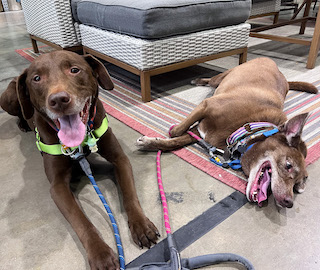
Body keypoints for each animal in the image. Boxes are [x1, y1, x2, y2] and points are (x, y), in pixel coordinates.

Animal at [0, 49, 159, 268]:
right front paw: (100, 254)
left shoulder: (120, 159)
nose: (58, 100)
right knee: (22, 112)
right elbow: (81, 221)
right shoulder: (57, 186)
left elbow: (130, 195)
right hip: (8, 98)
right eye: (37, 78)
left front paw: (142, 225)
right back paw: (23, 124)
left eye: (74, 70)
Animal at [136, 57, 318, 209]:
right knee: (211, 80)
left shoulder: (200, 132)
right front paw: (168, 133)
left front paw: (151, 143)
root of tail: (277, 68)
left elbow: (175, 142)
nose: (289, 203)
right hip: (223, 77)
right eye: (288, 166)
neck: (247, 126)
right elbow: (178, 132)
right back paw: (199, 80)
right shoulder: (205, 105)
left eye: (297, 184)